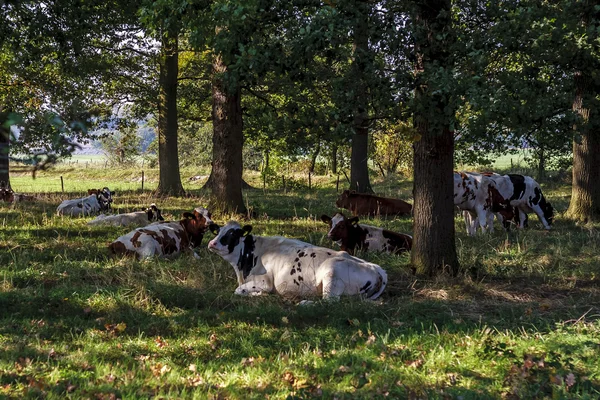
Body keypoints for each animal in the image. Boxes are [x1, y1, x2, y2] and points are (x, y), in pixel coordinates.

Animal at [207, 220, 390, 302]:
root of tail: (376, 268)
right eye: (218, 231)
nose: (212, 243)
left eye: (233, 234)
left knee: (329, 302)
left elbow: (238, 290)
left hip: (331, 275)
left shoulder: (264, 282)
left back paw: (304, 302)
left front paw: (257, 294)